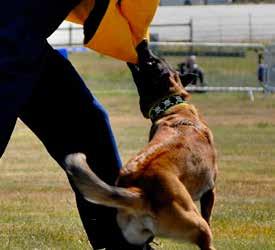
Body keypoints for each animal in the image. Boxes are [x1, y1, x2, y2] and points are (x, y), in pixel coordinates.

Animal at [64, 70, 218, 250]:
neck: (175, 111)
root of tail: (139, 191)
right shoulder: (210, 190)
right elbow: (208, 214)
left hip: (135, 236)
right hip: (196, 223)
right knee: (206, 236)